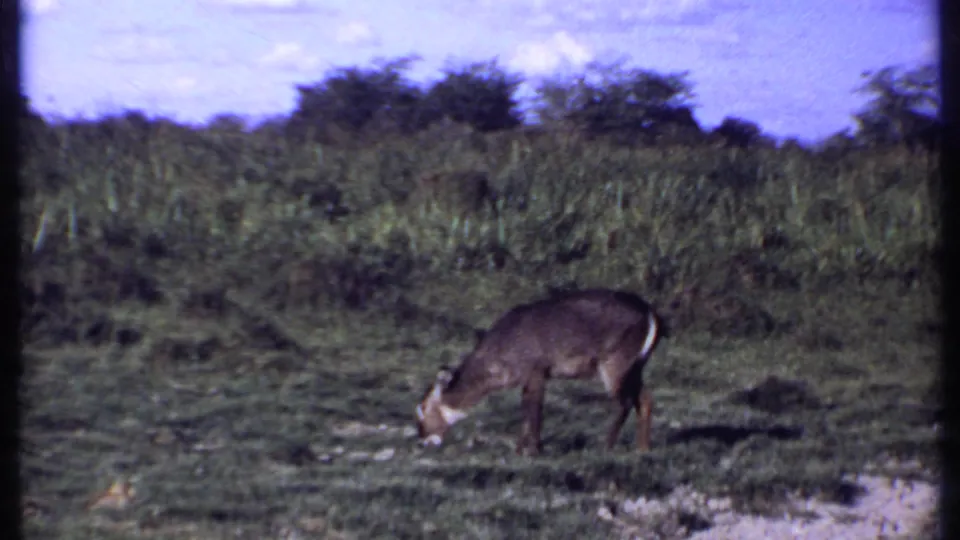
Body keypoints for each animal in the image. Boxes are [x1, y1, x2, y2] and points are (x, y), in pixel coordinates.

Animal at [415, 289, 669, 456]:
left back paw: (607, 445)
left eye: (423, 407)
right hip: (635, 367)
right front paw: (520, 449)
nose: (422, 438)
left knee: (625, 402)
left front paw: (534, 449)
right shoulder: (531, 378)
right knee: (645, 399)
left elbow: (534, 411)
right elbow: (526, 410)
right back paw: (643, 447)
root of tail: (651, 313)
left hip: (614, 364)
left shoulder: (537, 371)